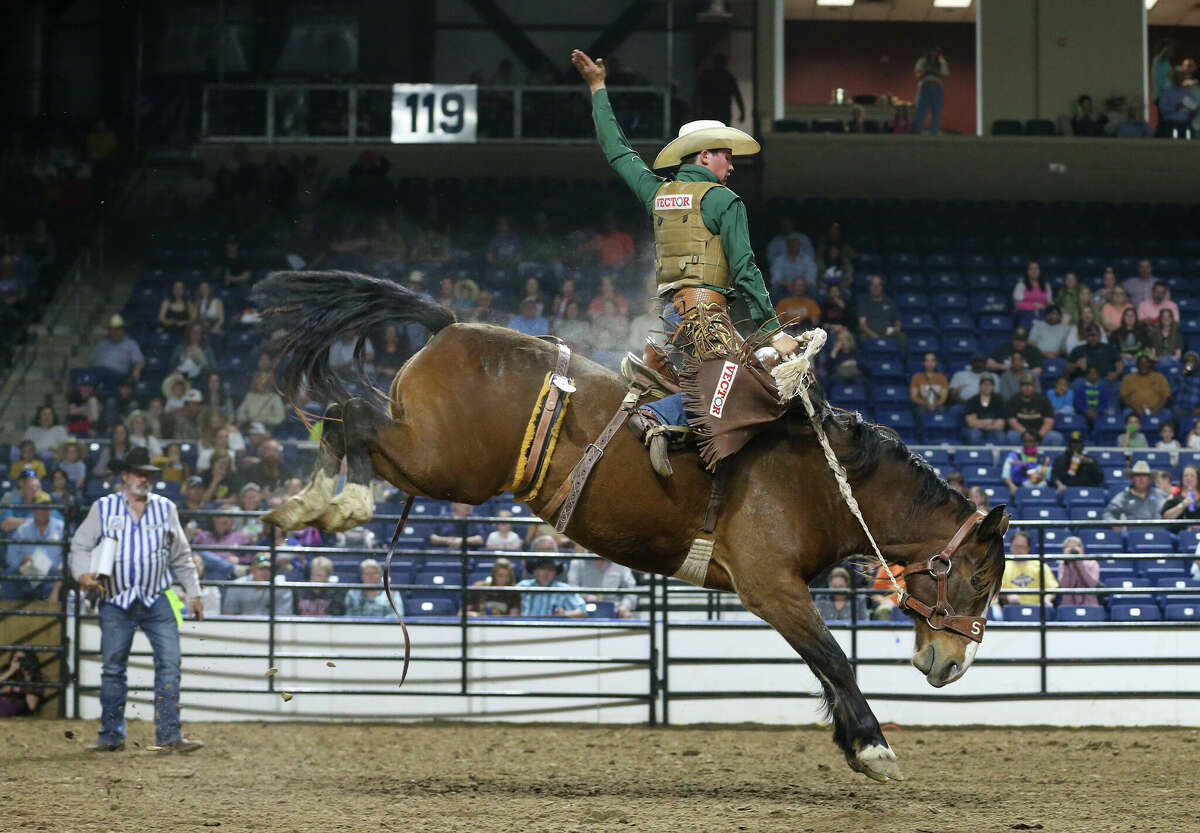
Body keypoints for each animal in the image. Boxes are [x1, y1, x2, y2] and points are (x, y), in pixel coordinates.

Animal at [255, 272, 1012, 782]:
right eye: (978, 576)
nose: (951, 665)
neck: (826, 480)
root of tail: (448, 324)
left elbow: (824, 668)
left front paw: (854, 744)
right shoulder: (770, 585)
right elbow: (833, 658)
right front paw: (875, 748)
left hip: (429, 465)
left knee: (346, 419)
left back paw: (311, 505)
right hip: (442, 464)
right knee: (348, 418)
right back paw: (332, 502)